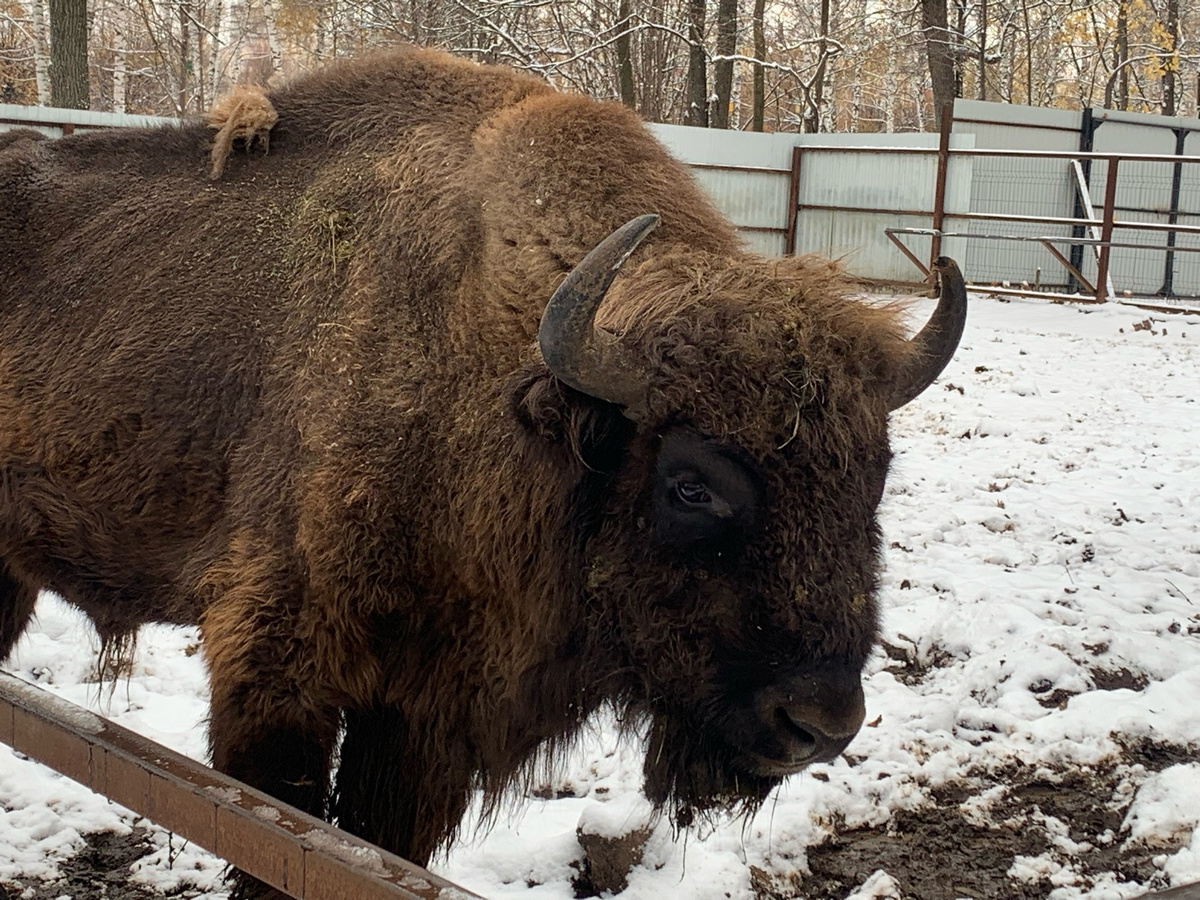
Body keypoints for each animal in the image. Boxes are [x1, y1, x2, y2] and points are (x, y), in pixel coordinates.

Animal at [0, 47, 964, 888]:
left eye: (874, 479)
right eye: (690, 485)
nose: (819, 724)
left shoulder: (428, 715)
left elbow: (380, 841)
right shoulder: (283, 670)